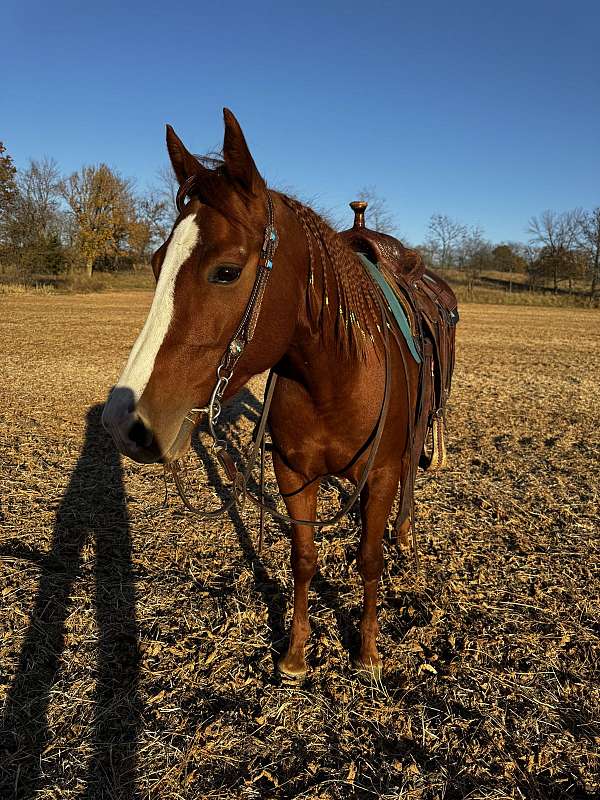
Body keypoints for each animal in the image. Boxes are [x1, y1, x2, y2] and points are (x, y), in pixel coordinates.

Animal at [102, 109, 426, 680]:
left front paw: (367, 652)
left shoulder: (383, 472)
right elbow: (304, 558)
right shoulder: (293, 473)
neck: (336, 380)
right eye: (157, 263)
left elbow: (369, 559)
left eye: (227, 271)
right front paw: (295, 654)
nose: (124, 421)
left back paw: (404, 534)